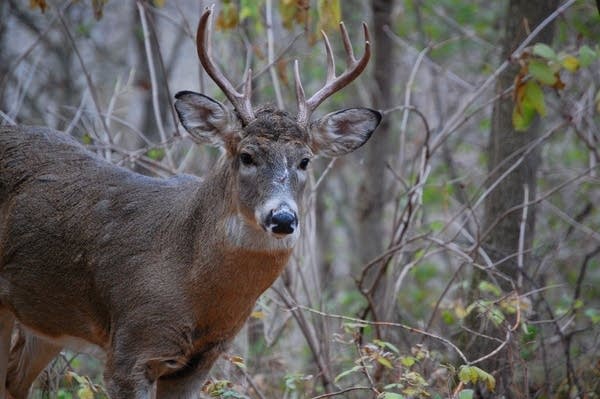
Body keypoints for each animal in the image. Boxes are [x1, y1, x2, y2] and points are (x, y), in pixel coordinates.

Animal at [0, 6, 382, 399]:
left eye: (305, 161)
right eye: (246, 156)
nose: (283, 218)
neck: (190, 278)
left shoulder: (199, 361)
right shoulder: (129, 348)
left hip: (43, 316)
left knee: (13, 379)